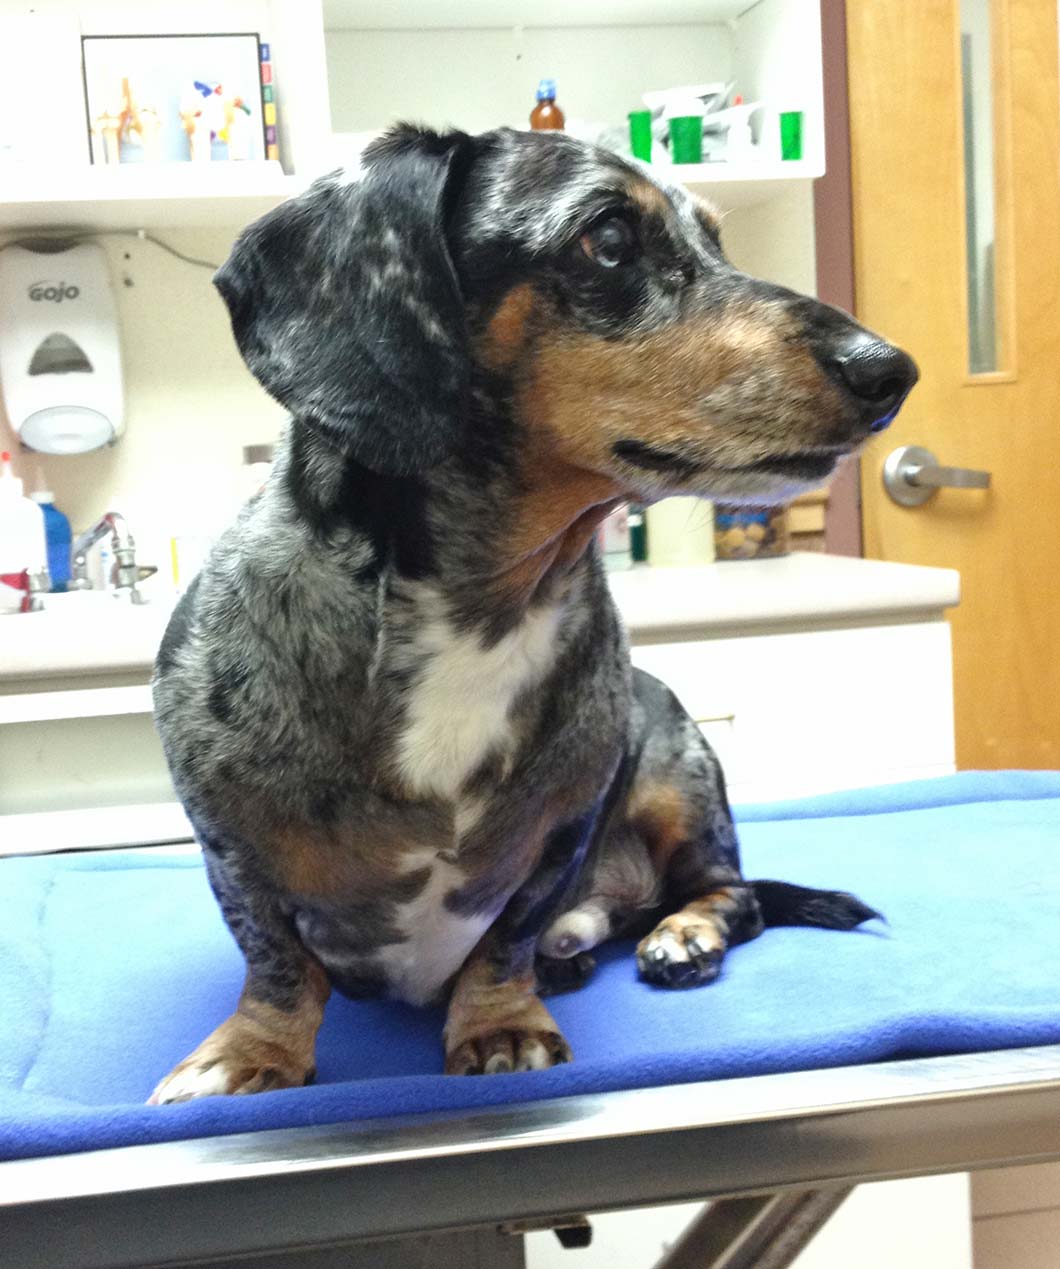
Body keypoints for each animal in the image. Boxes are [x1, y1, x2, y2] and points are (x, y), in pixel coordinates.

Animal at [145, 123, 914, 1106]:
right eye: (609, 238)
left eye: (717, 240)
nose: (890, 370)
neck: (485, 606)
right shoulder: (231, 845)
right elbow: (275, 959)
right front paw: (253, 1051)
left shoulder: (564, 828)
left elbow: (503, 940)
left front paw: (500, 1024)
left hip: (677, 768)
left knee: (727, 893)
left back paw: (673, 933)